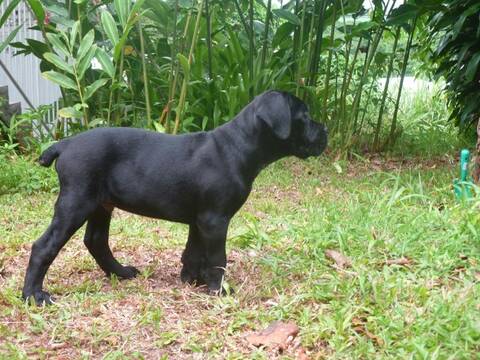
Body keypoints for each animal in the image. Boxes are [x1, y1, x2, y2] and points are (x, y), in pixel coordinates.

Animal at [20, 90, 326, 304]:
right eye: (305, 117)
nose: (325, 131)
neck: (238, 146)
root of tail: (65, 143)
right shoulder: (216, 219)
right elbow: (218, 257)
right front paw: (219, 290)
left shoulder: (200, 220)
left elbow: (194, 251)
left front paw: (192, 280)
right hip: (76, 201)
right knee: (44, 246)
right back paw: (33, 295)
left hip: (100, 204)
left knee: (96, 241)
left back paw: (120, 273)